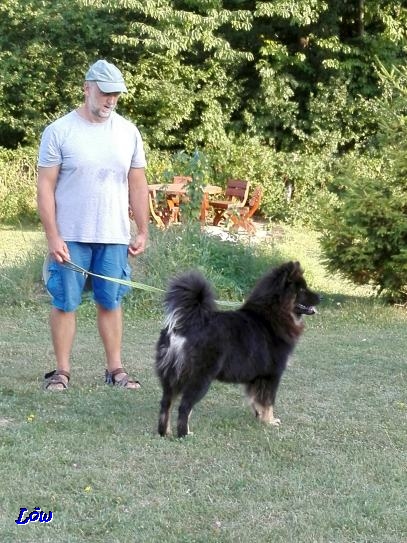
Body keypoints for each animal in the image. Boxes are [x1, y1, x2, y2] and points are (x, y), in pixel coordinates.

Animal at [155, 262, 320, 440]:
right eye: (302, 290)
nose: (321, 297)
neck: (273, 314)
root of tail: (187, 323)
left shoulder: (257, 377)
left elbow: (257, 400)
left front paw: (260, 417)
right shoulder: (272, 374)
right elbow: (268, 401)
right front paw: (269, 421)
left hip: (172, 377)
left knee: (166, 404)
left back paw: (164, 432)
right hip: (200, 378)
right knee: (184, 407)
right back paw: (184, 434)